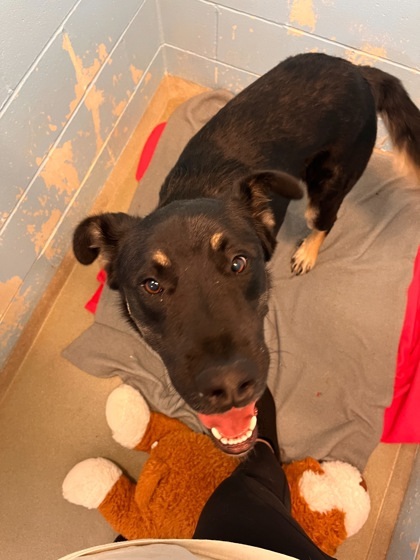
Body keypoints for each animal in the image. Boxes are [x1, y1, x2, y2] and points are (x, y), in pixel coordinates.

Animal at [73, 52, 420, 456]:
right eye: (152, 285)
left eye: (238, 263)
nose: (228, 385)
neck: (196, 192)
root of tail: (357, 69)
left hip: (326, 189)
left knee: (325, 222)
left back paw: (308, 252)